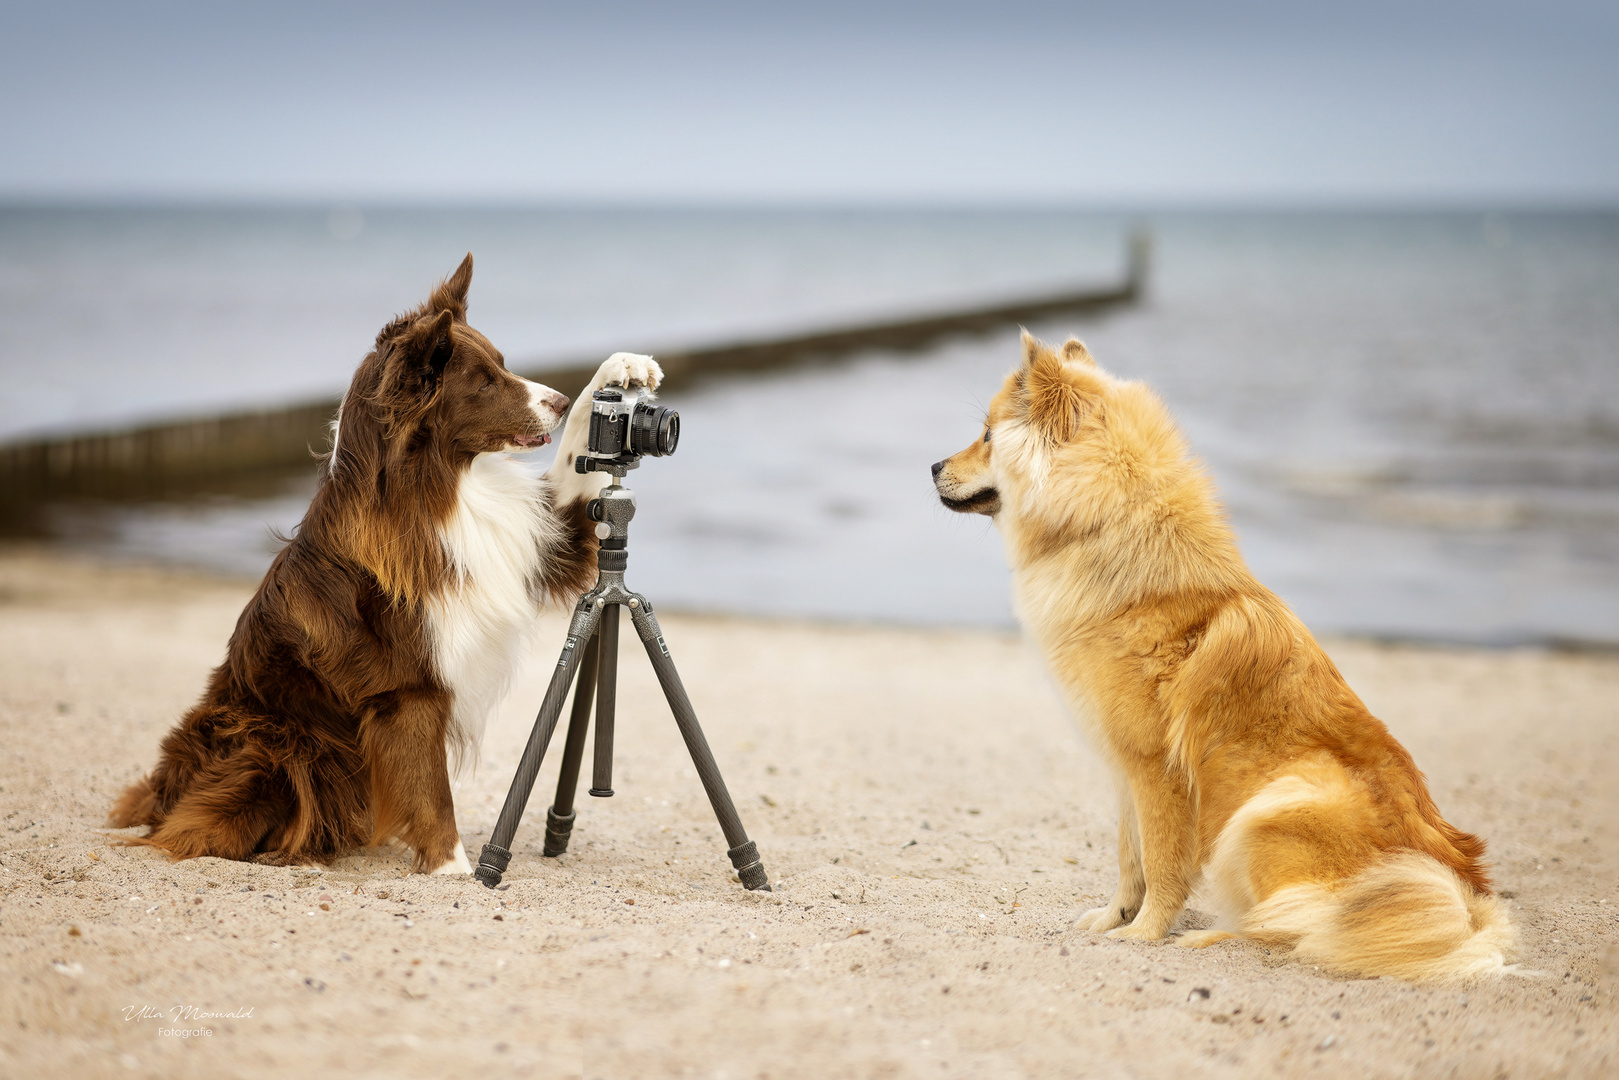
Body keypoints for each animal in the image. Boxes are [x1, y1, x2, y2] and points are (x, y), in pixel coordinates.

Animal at [107, 257, 657, 874]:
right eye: (484, 382)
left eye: (503, 363)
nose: (558, 401)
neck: (443, 487)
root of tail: (158, 793)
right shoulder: (409, 686)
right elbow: (433, 791)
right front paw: (454, 871)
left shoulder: (544, 540)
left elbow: (578, 471)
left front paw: (622, 369)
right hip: (276, 748)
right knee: (196, 827)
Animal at [939, 333, 1515, 984]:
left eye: (988, 435)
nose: (932, 467)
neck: (1114, 541)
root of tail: (1467, 898)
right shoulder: (1123, 770)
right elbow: (1129, 859)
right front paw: (1115, 919)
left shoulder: (1156, 770)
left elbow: (1161, 863)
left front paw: (1145, 934)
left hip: (1272, 807)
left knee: (1303, 926)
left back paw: (1213, 937)